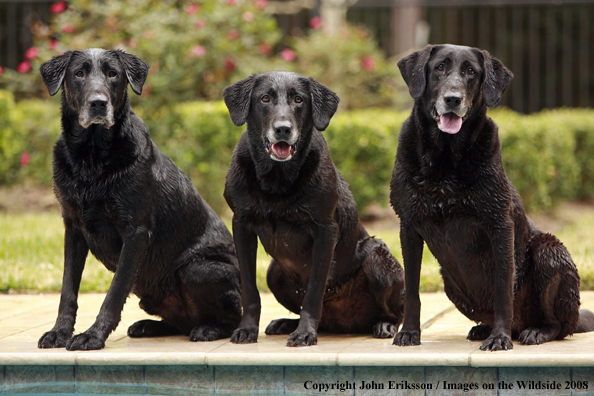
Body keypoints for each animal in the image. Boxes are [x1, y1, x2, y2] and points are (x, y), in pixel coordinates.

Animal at [37, 48, 239, 350]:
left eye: (113, 74)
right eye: (79, 73)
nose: (98, 103)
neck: (91, 157)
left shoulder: (136, 233)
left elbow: (114, 292)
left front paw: (92, 336)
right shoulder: (72, 229)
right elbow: (67, 290)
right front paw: (59, 332)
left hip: (199, 269)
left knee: (231, 319)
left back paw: (208, 329)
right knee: (178, 322)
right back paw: (148, 326)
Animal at [221, 72, 402, 346]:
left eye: (299, 99)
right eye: (264, 98)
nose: (283, 129)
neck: (277, 179)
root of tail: (344, 325)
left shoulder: (325, 229)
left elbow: (315, 288)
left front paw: (305, 333)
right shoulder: (241, 225)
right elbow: (250, 291)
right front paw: (247, 329)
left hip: (378, 260)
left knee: (394, 313)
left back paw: (384, 325)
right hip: (274, 273)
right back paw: (285, 323)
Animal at [388, 44, 592, 352]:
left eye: (471, 72)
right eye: (439, 68)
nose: (453, 99)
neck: (446, 157)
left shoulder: (500, 225)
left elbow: (502, 290)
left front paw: (499, 337)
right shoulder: (408, 226)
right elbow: (412, 290)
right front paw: (410, 333)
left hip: (550, 252)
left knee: (558, 325)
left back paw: (534, 332)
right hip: (450, 282)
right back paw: (484, 329)